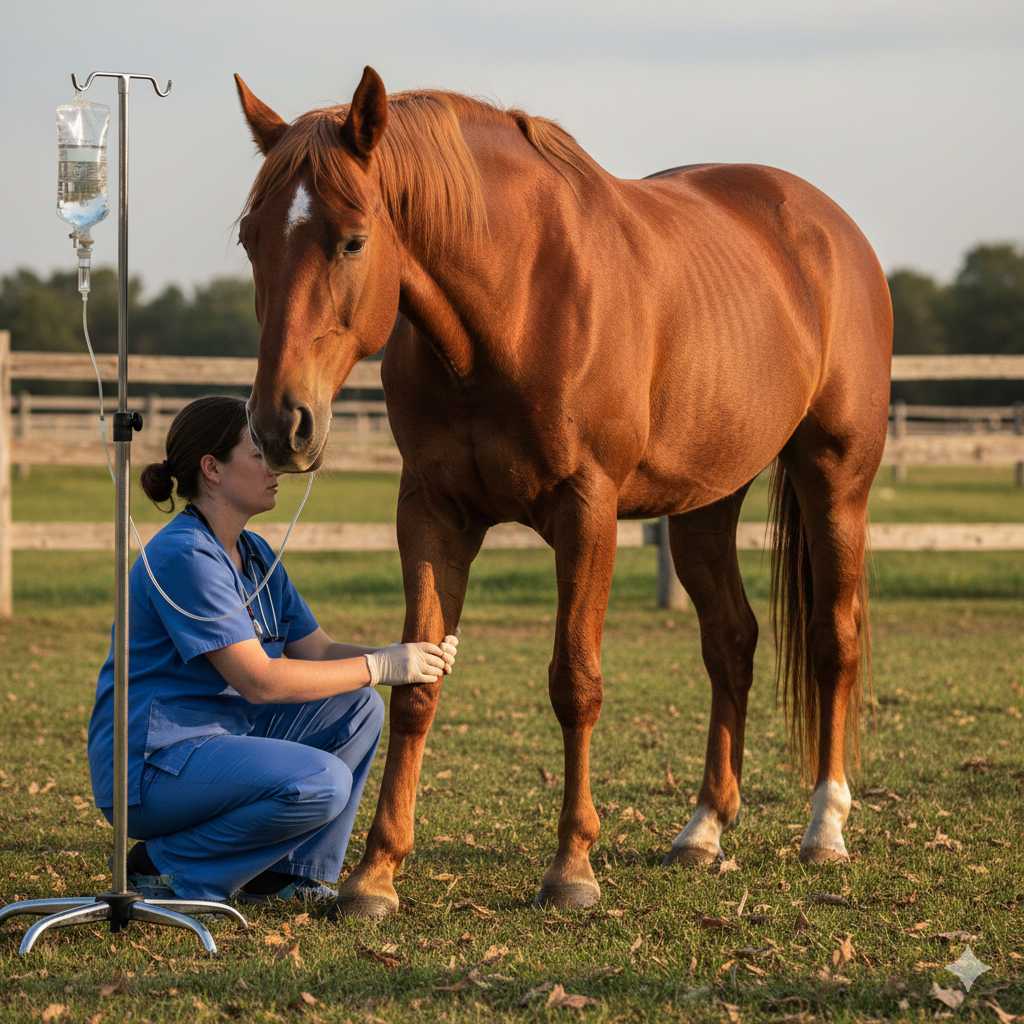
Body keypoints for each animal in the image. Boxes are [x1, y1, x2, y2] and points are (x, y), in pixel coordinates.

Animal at [235, 66, 892, 919]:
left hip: (834, 478)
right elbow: (416, 684)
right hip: (704, 505)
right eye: (251, 239)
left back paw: (825, 828)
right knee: (731, 642)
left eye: (352, 238)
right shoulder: (431, 515)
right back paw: (704, 828)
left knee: (832, 642)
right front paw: (374, 875)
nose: (281, 424)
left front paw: (572, 867)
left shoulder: (589, 512)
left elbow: (575, 683)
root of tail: (828, 227)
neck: (515, 303)